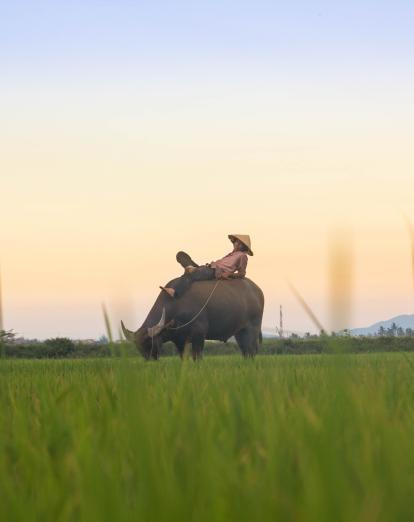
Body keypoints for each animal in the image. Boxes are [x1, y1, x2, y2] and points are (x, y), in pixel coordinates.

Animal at [119, 276, 264, 358]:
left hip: (252, 329)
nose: (150, 360)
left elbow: (197, 357)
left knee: (252, 350)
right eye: (138, 347)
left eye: (150, 342)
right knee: (245, 351)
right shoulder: (179, 341)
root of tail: (257, 290)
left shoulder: (199, 336)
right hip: (240, 332)